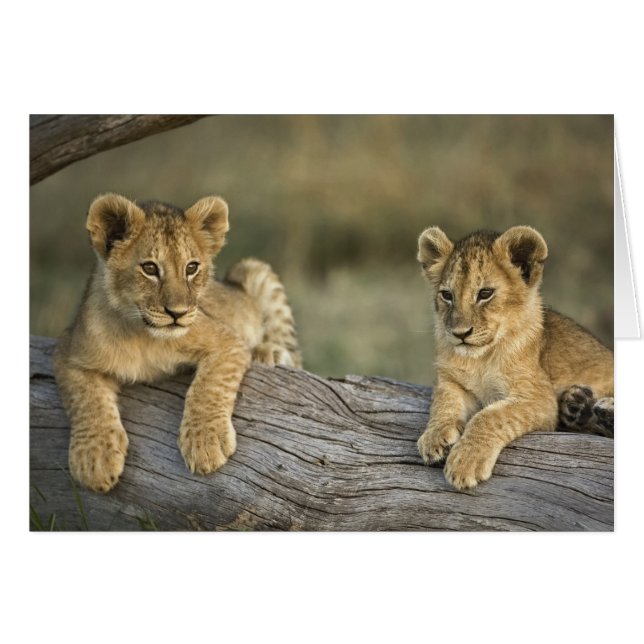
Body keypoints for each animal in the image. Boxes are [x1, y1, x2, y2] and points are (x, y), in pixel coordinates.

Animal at [54, 193, 301, 493]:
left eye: (191, 268)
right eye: (149, 268)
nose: (178, 313)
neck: (141, 335)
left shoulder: (227, 340)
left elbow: (209, 387)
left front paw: (205, 443)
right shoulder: (69, 351)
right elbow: (85, 400)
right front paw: (94, 459)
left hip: (252, 269)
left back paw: (270, 353)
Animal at [416, 225, 613, 490]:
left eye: (485, 293)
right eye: (447, 295)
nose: (460, 333)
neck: (479, 359)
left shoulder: (539, 398)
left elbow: (490, 416)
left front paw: (465, 462)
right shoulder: (450, 380)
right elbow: (442, 402)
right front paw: (434, 438)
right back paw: (578, 406)